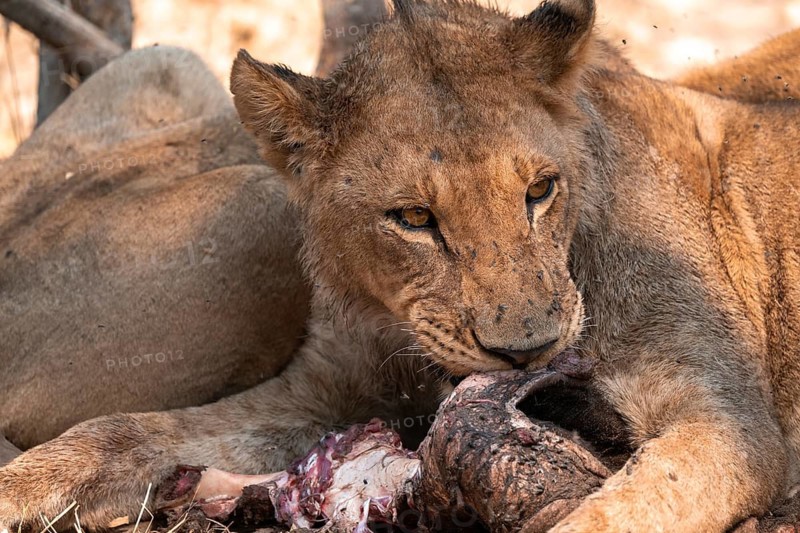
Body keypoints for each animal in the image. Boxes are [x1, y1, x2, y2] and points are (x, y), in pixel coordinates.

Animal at [2, 1, 800, 531]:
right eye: (414, 219)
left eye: (540, 189)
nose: (529, 351)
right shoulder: (319, 394)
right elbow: (122, 431)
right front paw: (21, 486)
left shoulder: (725, 422)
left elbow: (612, 515)